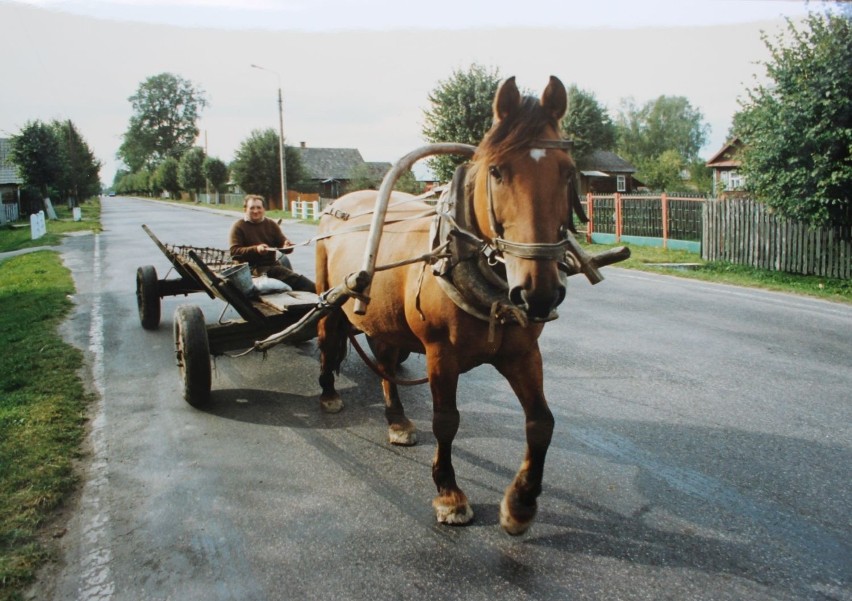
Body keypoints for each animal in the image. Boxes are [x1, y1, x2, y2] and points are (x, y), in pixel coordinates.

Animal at [316, 76, 584, 536]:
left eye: (566, 171)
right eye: (497, 171)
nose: (539, 293)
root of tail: (342, 202)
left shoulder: (523, 352)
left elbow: (541, 422)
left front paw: (520, 504)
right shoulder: (440, 353)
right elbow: (447, 420)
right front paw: (449, 495)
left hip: (384, 317)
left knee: (384, 360)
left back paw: (397, 420)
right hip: (331, 299)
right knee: (327, 339)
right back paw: (330, 392)